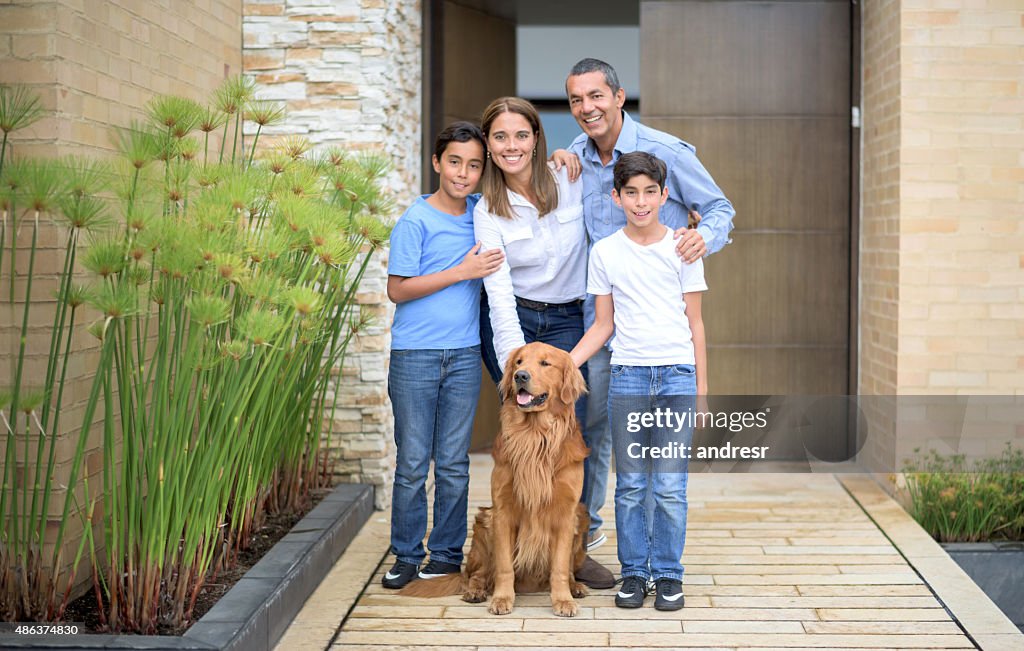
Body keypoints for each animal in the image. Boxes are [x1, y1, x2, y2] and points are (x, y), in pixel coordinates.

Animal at [401, 343, 593, 618]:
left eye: (545, 363)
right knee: (477, 574)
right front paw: (502, 598)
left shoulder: (566, 513)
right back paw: (476, 591)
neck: (534, 434)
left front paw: (563, 599)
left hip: (582, 516)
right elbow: (504, 566)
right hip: (484, 522)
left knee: (566, 568)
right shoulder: (503, 511)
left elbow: (559, 567)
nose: (520, 376)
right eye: (519, 362)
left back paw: (575, 586)